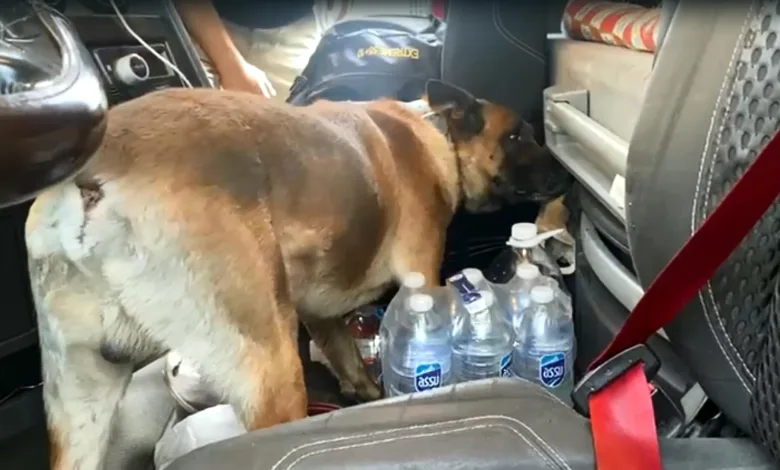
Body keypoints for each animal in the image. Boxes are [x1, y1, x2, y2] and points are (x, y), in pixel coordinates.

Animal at [24, 80, 570, 470]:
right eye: (518, 135)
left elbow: (346, 355)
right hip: (270, 368)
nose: (566, 175)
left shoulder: (320, 313)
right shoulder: (423, 270)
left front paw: (365, 395)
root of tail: (91, 184)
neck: (433, 129)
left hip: (80, 399)